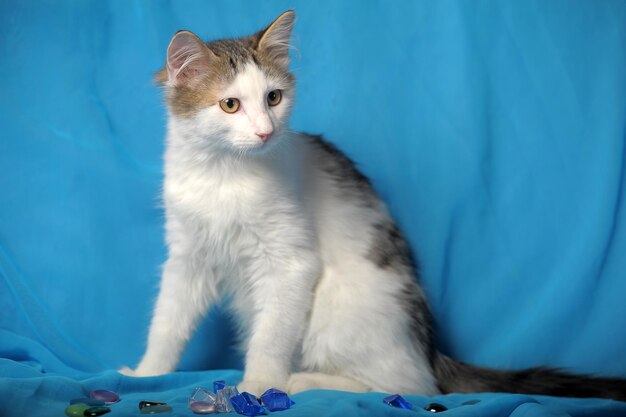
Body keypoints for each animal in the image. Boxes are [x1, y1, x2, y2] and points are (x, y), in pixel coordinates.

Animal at [118, 10, 624, 400]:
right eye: (229, 105)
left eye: (273, 98)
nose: (266, 132)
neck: (224, 175)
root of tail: (428, 348)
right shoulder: (188, 257)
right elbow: (167, 323)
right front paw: (146, 373)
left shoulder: (290, 264)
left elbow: (269, 340)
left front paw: (258, 386)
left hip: (338, 312)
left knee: (409, 387)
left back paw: (302, 381)